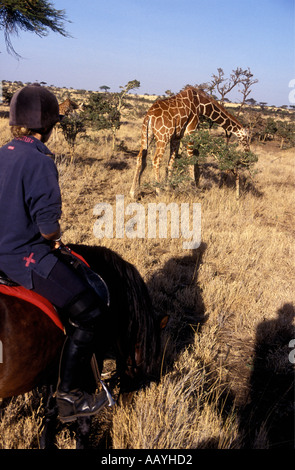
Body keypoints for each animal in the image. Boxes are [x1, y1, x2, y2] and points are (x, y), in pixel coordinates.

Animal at [0, 246, 162, 448]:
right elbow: (84, 424)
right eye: (144, 376)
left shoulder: (54, 371)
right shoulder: (87, 370)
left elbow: (50, 411)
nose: (125, 409)